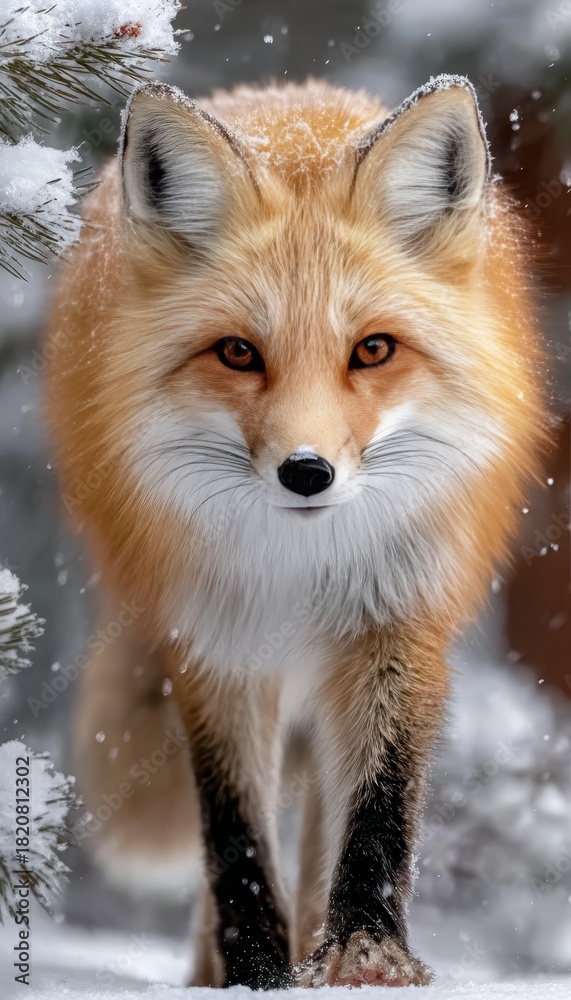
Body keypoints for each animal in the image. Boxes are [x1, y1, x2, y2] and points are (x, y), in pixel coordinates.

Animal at [46, 75, 545, 988]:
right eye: (238, 353)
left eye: (373, 350)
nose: (306, 472)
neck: (302, 566)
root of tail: (285, 92)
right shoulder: (215, 638)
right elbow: (234, 835)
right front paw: (254, 972)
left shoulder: (398, 626)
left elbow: (377, 813)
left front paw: (364, 948)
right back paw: (217, 965)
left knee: (319, 826)